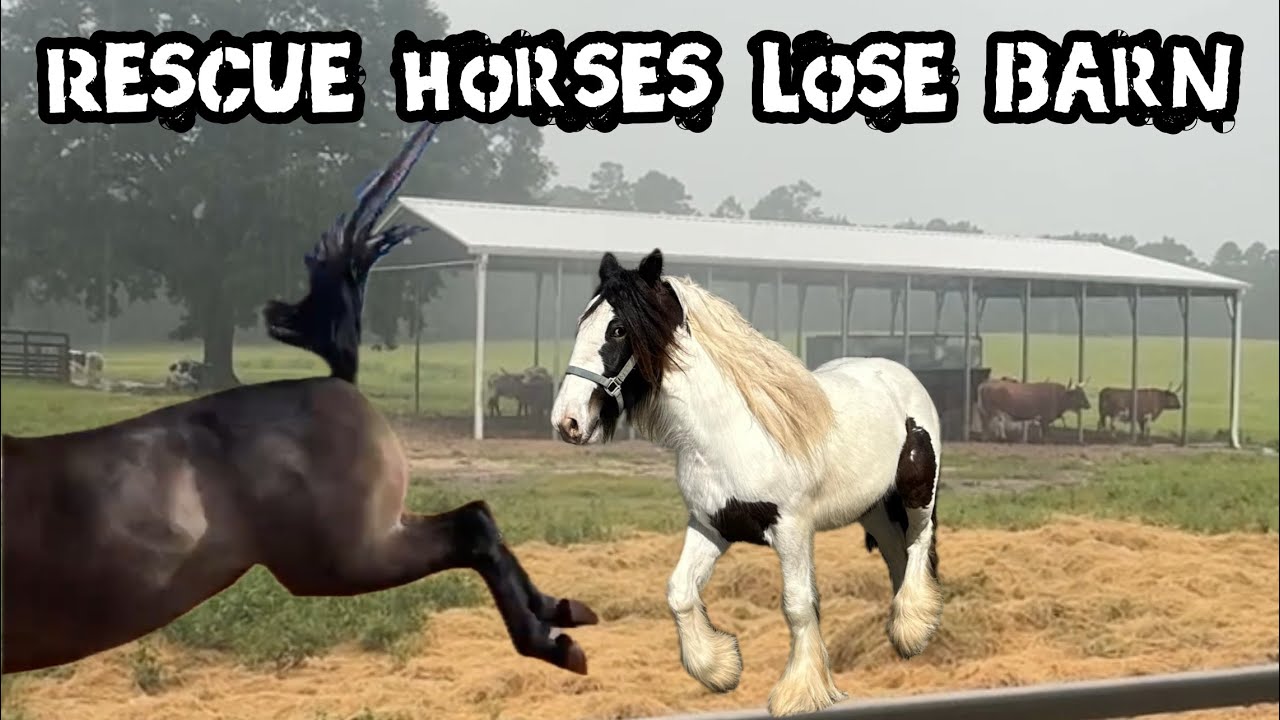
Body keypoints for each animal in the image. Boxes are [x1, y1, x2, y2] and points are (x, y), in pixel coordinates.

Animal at [0, 121, 597, 676]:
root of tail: (338, 381)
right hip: (371, 536)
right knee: (477, 517)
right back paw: (562, 611)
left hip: (348, 557)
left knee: (471, 528)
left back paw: (553, 641)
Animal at [550, 249, 943, 716]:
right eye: (581, 322)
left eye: (617, 328)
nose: (567, 421)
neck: (731, 431)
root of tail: (899, 374)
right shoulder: (710, 525)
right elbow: (679, 591)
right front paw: (720, 670)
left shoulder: (791, 529)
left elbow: (798, 605)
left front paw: (801, 692)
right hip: (874, 510)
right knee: (896, 554)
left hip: (917, 494)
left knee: (918, 544)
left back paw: (913, 630)